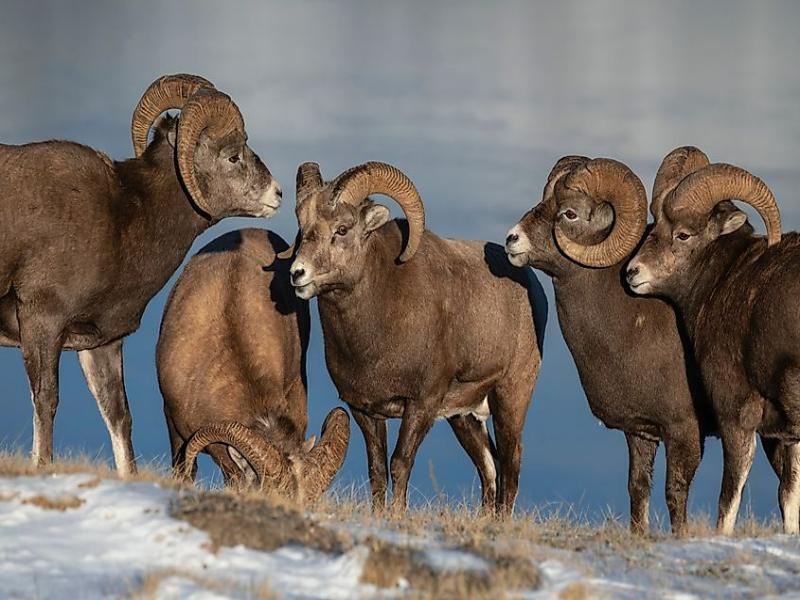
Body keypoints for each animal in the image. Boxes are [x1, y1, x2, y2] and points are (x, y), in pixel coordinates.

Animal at [0, 74, 281, 475]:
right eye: (232, 156)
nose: (277, 194)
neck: (125, 220)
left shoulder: (101, 343)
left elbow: (119, 416)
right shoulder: (42, 321)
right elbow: (46, 401)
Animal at [285, 161, 547, 514]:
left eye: (342, 229)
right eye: (302, 224)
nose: (298, 273)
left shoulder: (421, 404)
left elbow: (400, 463)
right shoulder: (365, 411)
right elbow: (377, 470)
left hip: (511, 394)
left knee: (510, 463)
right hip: (464, 417)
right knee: (488, 466)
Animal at [626, 150, 800, 534]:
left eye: (683, 234)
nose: (632, 272)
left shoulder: (737, 417)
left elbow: (729, 498)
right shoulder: (787, 435)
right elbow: (790, 495)